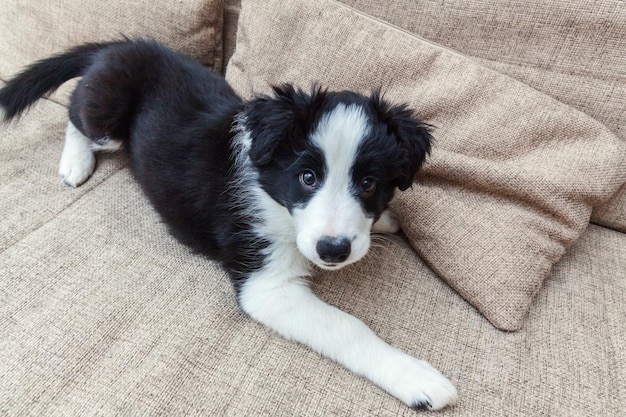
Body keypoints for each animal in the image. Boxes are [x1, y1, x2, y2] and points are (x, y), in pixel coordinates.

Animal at [1, 39, 458, 410]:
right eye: (307, 177)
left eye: (368, 183)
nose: (333, 250)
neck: (275, 198)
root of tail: (119, 46)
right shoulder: (266, 285)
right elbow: (347, 326)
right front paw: (414, 377)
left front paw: (384, 220)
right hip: (107, 114)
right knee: (75, 111)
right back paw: (74, 163)